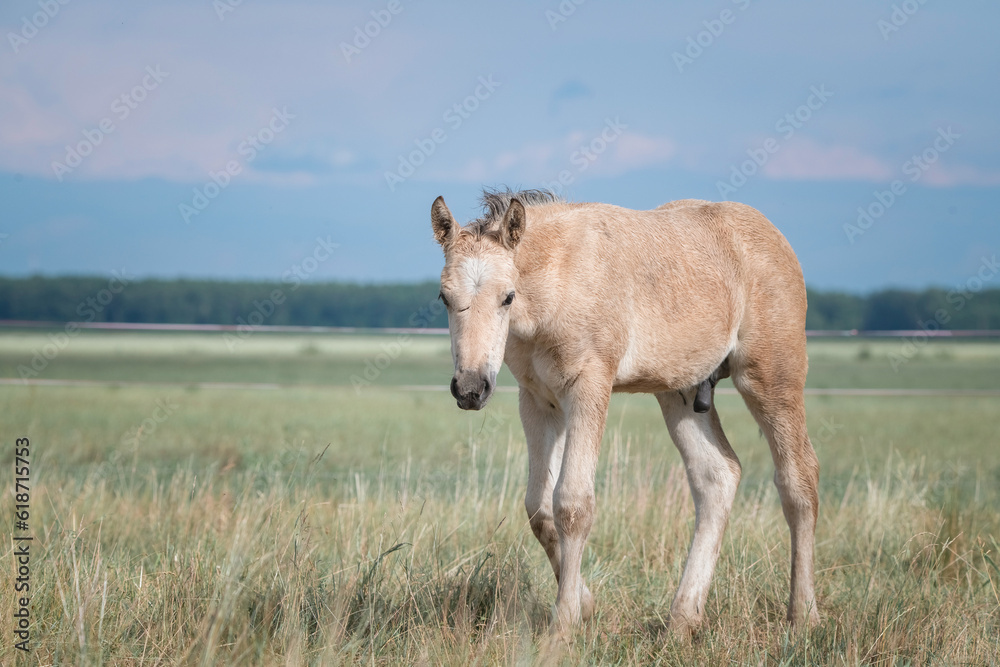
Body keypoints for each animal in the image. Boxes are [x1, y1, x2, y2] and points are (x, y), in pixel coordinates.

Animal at [430, 188, 819, 636]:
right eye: (444, 297)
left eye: (507, 296)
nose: (470, 389)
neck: (558, 280)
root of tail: (775, 237)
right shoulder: (538, 402)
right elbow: (539, 508)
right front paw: (584, 604)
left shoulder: (590, 386)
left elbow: (573, 503)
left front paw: (563, 626)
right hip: (680, 391)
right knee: (717, 475)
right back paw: (682, 621)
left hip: (771, 377)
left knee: (798, 478)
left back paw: (804, 615)